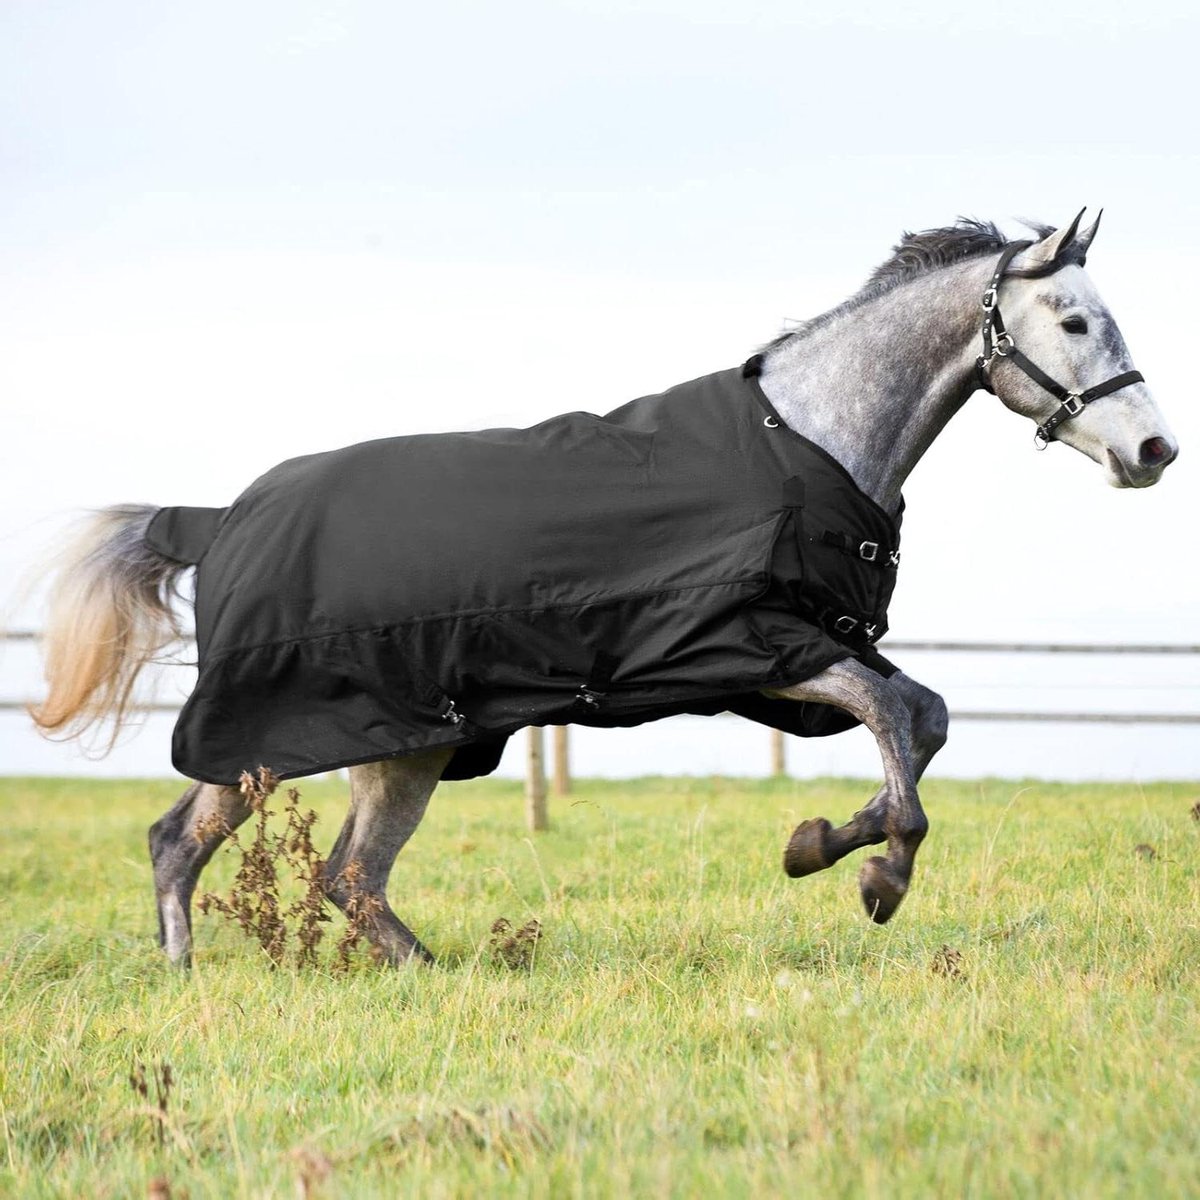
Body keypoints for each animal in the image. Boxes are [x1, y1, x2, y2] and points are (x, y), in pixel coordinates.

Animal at [30, 210, 1178, 966]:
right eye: (1075, 321)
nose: (1154, 451)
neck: (806, 440)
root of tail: (219, 517)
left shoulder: (806, 649)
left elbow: (924, 717)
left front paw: (819, 844)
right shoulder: (756, 647)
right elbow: (897, 718)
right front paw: (874, 875)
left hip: (396, 744)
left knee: (284, 862)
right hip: (320, 735)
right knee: (271, 858)